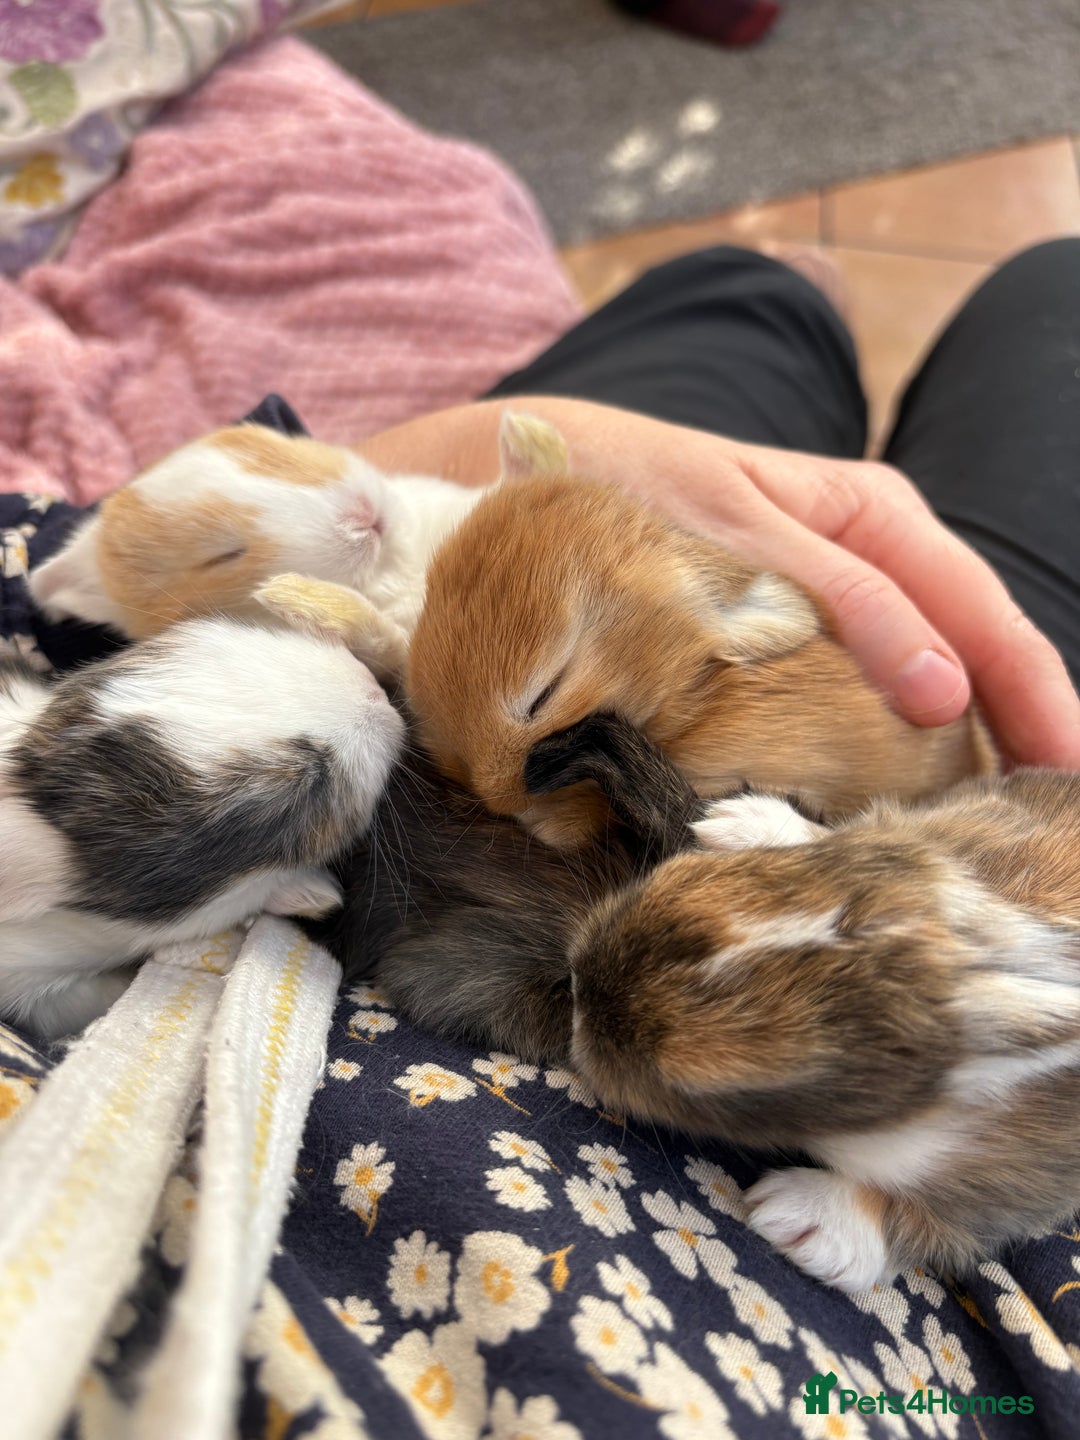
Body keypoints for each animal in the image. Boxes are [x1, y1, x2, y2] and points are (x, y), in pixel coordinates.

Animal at [569, 770, 1080, 1290]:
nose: (577, 986)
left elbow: (936, 1218)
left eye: (708, 1088)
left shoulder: (1017, 1182)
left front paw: (801, 1220)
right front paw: (740, 821)